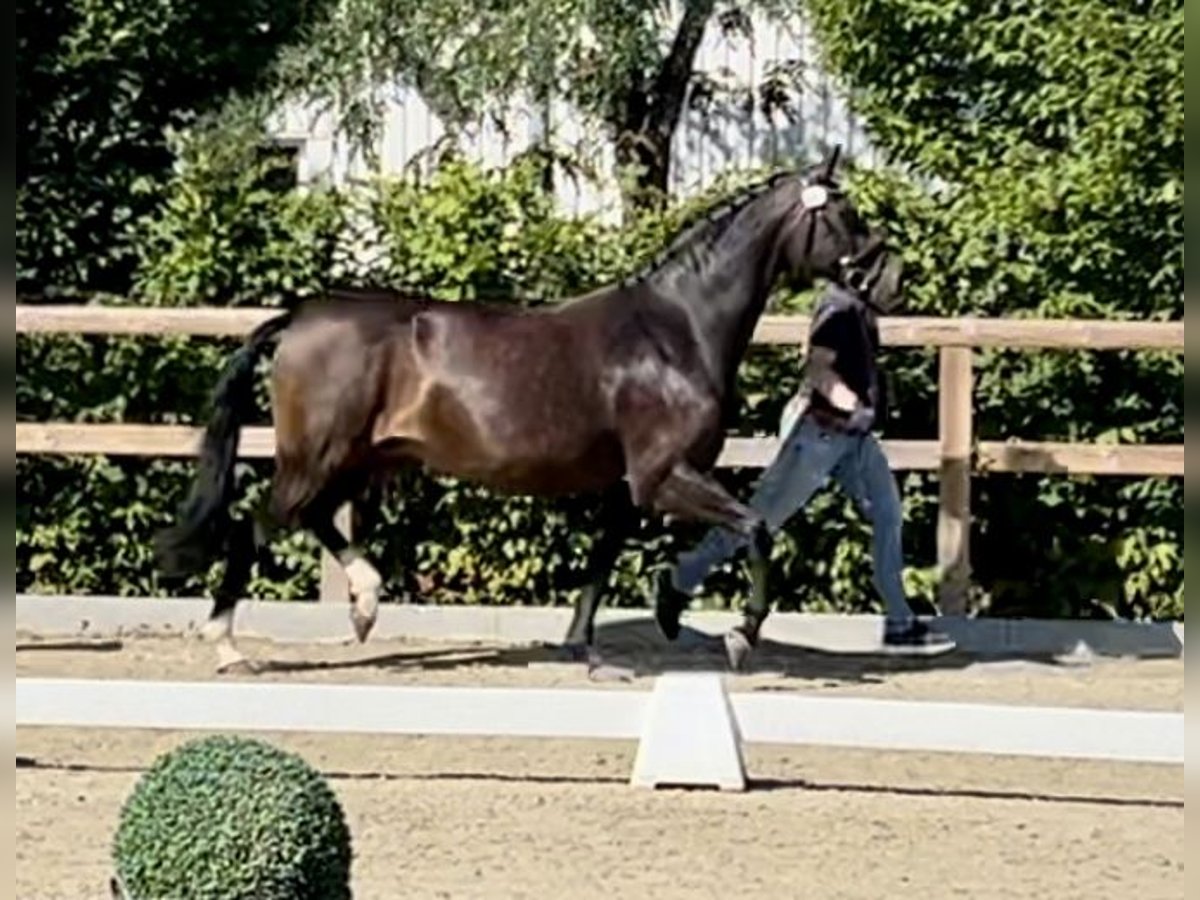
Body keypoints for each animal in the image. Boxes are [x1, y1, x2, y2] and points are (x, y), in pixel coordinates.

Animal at [159, 151, 902, 676]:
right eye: (846, 215)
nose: (893, 277)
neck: (676, 330)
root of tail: (301, 316)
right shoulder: (663, 476)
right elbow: (756, 530)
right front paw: (740, 636)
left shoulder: (631, 486)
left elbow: (604, 559)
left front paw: (598, 640)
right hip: (317, 457)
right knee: (253, 529)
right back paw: (230, 647)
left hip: (359, 459)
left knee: (308, 520)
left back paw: (366, 606)